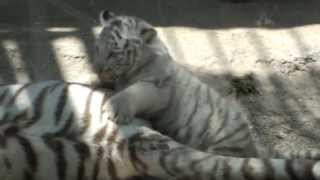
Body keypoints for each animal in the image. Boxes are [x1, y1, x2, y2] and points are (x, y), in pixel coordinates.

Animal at [95, 9, 320, 159]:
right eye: (98, 47)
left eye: (114, 53)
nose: (98, 68)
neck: (131, 68)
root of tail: (253, 148)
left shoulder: (159, 88)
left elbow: (136, 91)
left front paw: (114, 109)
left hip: (225, 143)